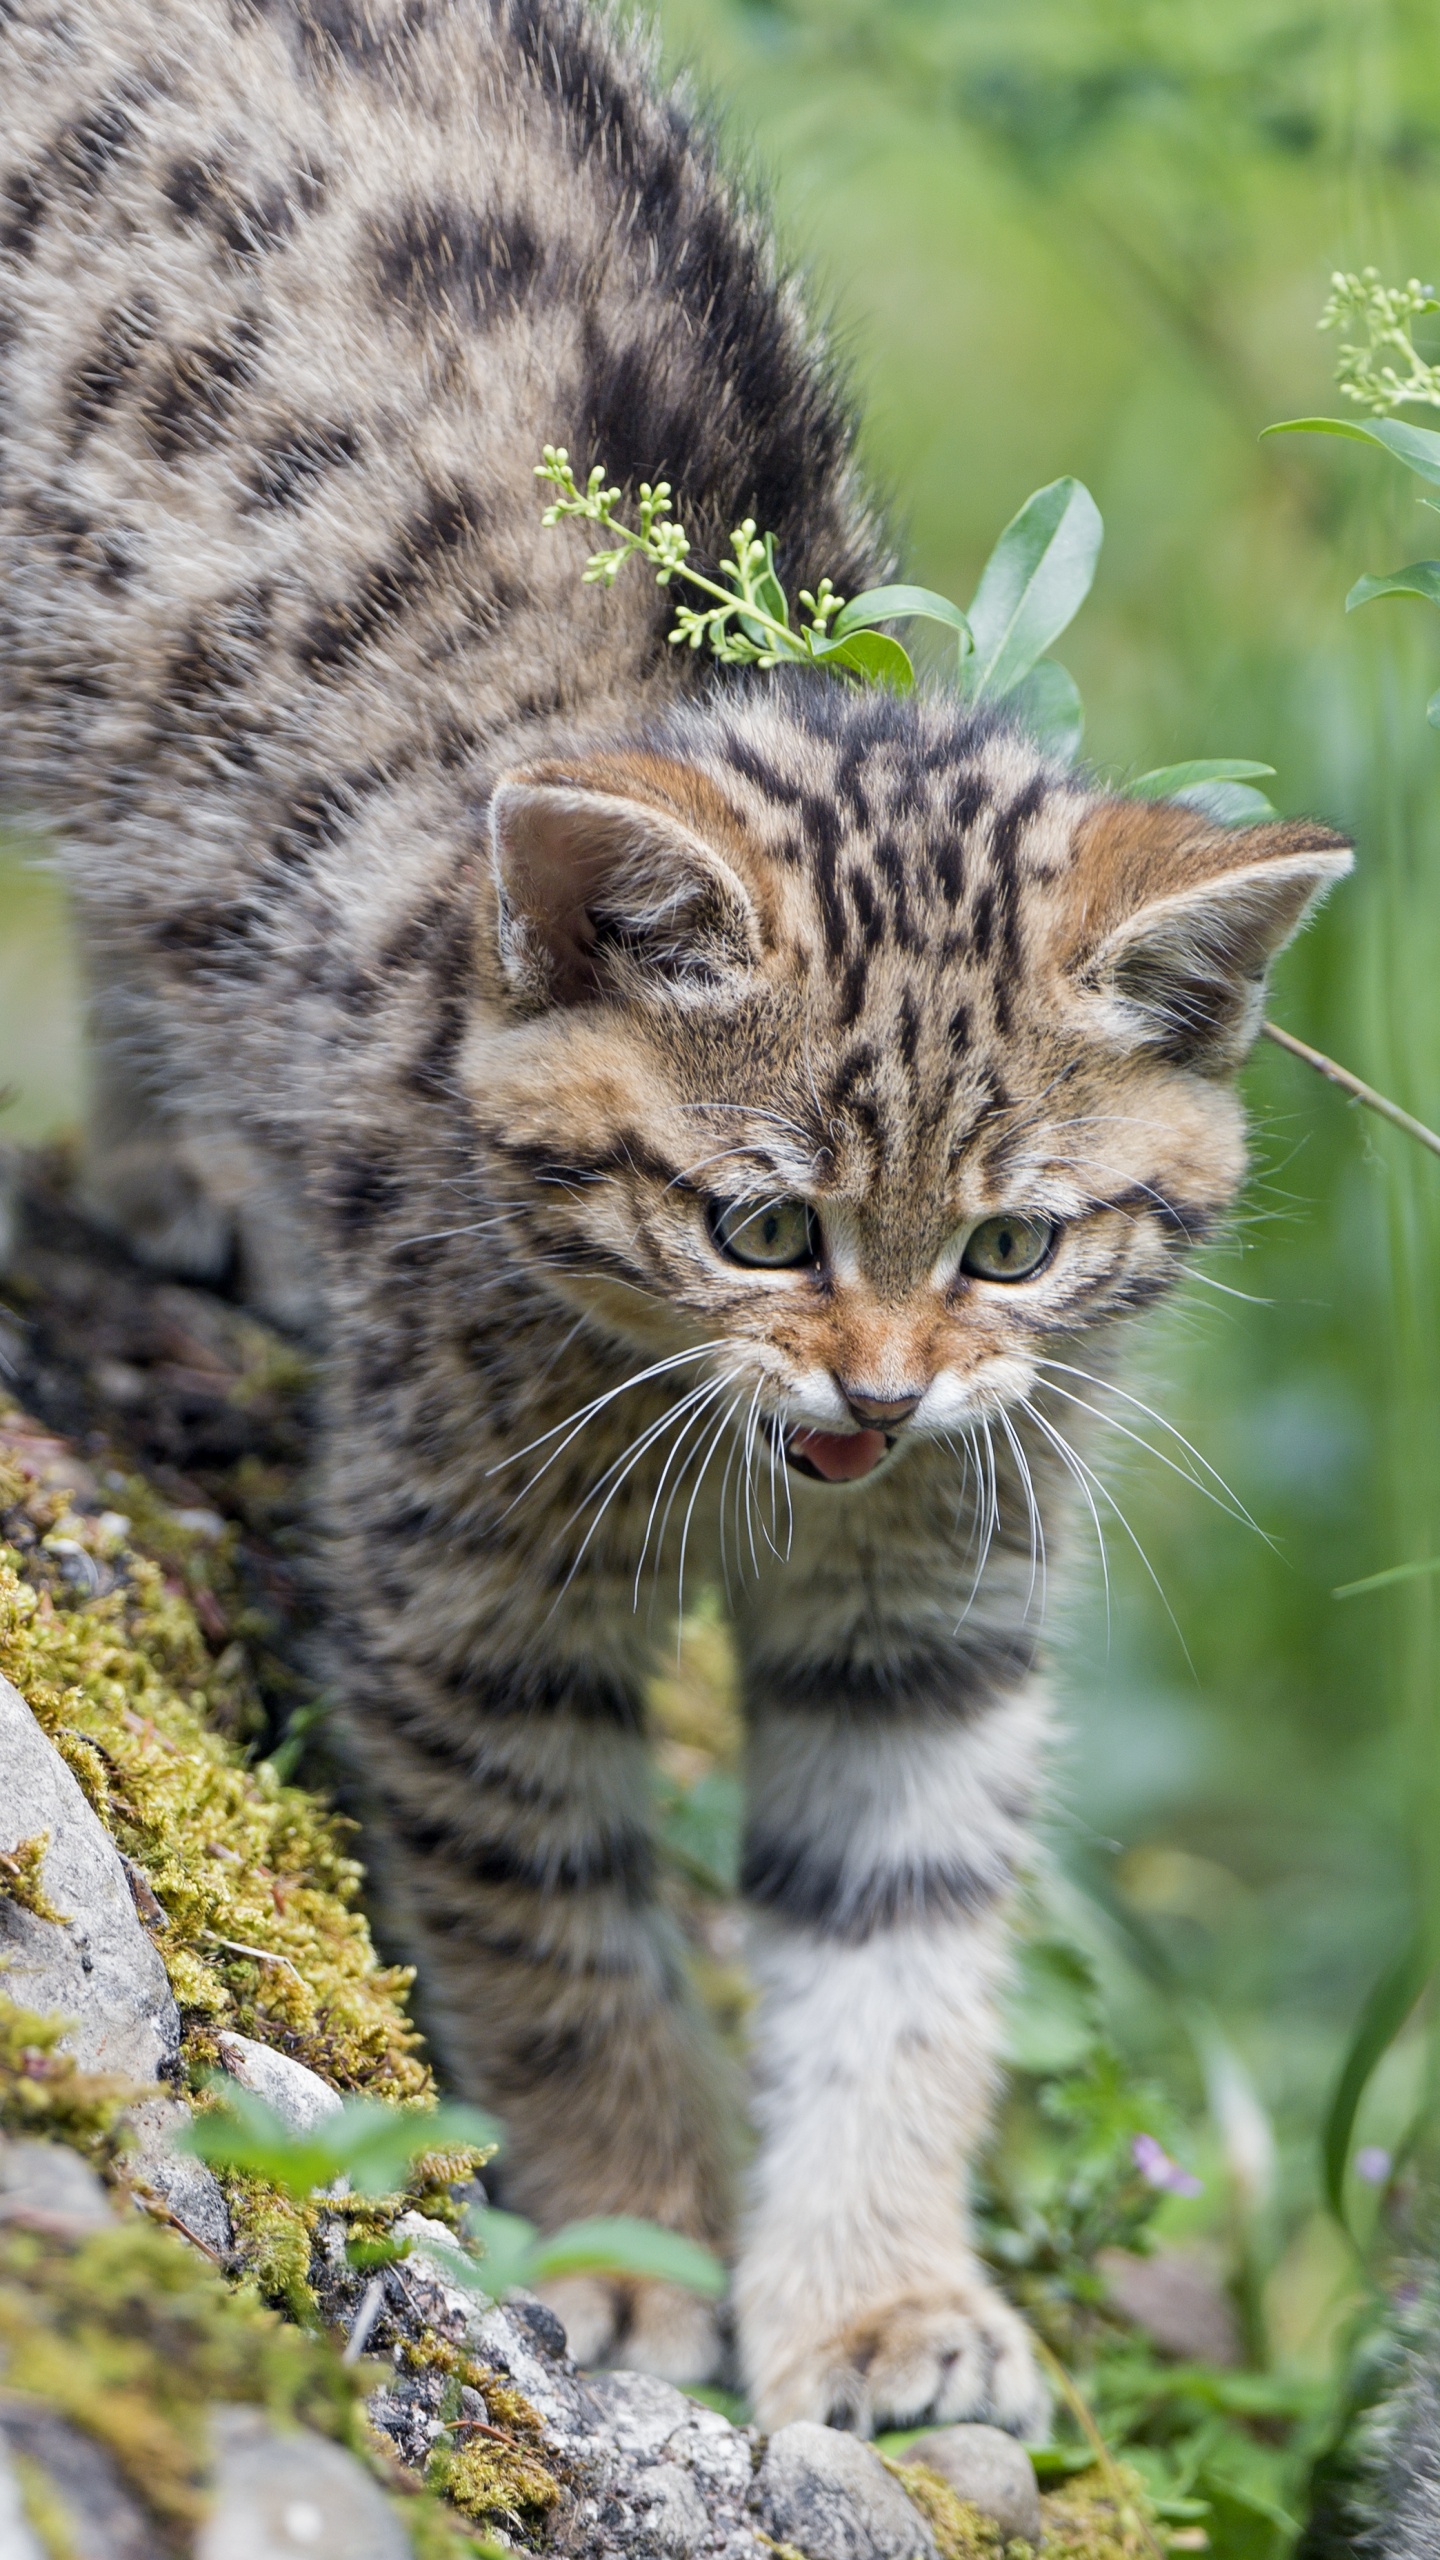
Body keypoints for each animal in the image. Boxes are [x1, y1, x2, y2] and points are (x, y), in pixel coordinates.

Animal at [0, 0, 1342, 2426]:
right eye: (760, 1230)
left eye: (1013, 1249)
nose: (880, 1397)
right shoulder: (464, 1584)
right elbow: (551, 1913)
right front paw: (629, 2233)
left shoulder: (940, 1600)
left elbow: (902, 1932)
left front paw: (886, 2296)